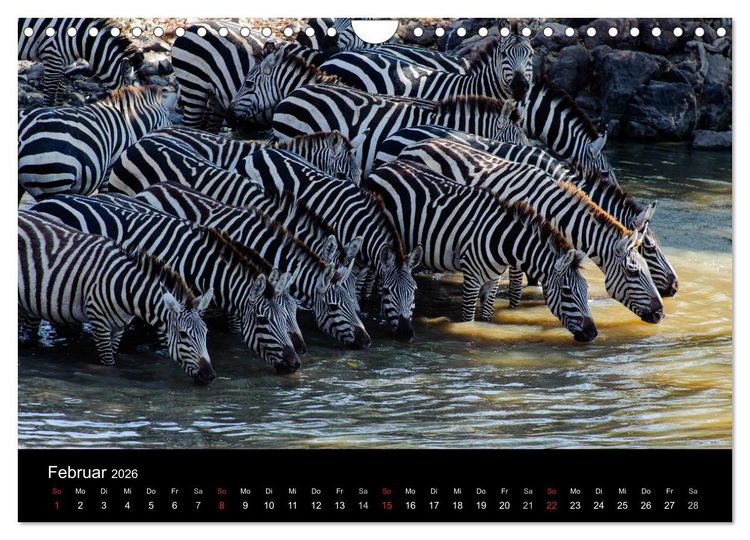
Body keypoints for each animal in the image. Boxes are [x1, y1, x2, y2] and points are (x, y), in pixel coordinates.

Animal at [19, 211, 215, 383]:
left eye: (206, 332)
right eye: (183, 334)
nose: (210, 376)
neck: (127, 288)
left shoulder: (119, 327)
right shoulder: (99, 323)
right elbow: (109, 364)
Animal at [245, 148, 423, 340]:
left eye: (414, 290)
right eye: (387, 291)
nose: (407, 333)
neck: (358, 224)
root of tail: (262, 150)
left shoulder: (359, 263)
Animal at [363, 161, 597, 341]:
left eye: (586, 289)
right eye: (567, 292)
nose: (593, 333)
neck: (503, 241)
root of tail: (383, 167)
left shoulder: (493, 280)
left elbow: (487, 318)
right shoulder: (472, 278)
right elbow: (467, 319)